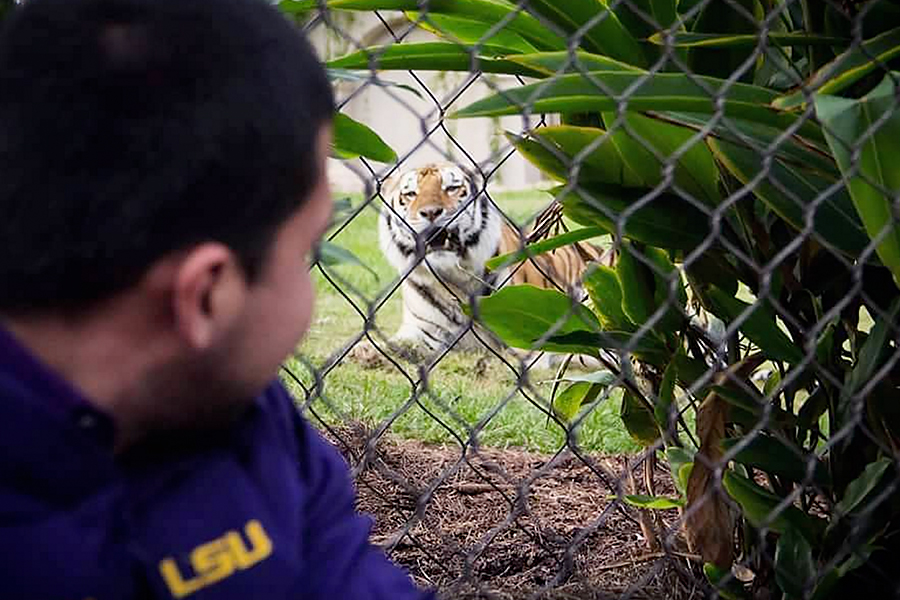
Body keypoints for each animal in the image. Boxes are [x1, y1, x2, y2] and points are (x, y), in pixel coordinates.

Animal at [353, 162, 613, 367]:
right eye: (410, 194)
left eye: (451, 188)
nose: (431, 212)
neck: (456, 278)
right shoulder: (423, 331)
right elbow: (398, 344)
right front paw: (365, 351)